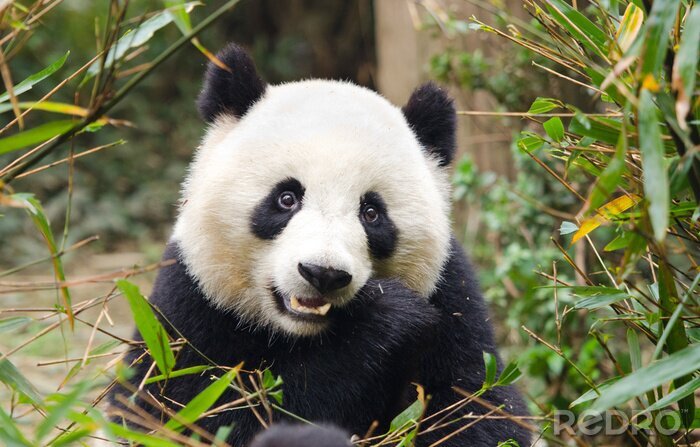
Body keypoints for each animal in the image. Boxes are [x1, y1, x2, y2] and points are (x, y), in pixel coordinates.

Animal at [109, 42, 531, 447]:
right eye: (286, 198)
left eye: (371, 212)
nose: (323, 274)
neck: (303, 334)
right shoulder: (188, 309)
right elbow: (184, 411)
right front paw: (386, 317)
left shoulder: (454, 302)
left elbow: (478, 409)